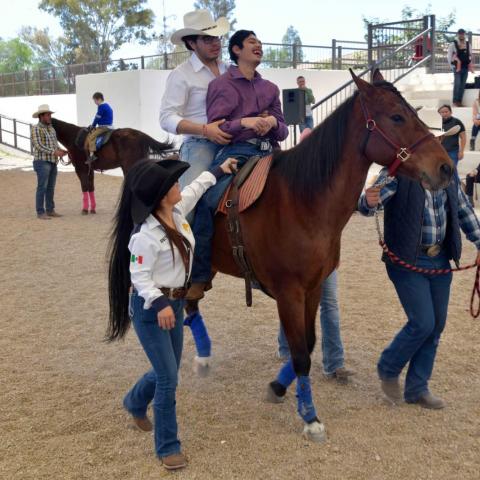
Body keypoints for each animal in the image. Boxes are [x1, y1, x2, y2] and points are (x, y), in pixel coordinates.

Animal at [188, 69, 454, 440]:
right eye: (397, 117)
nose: (445, 168)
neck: (302, 200)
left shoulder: (313, 288)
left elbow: (310, 343)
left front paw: (278, 388)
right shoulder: (289, 293)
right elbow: (300, 354)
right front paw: (310, 418)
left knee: (190, 301)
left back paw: (202, 358)